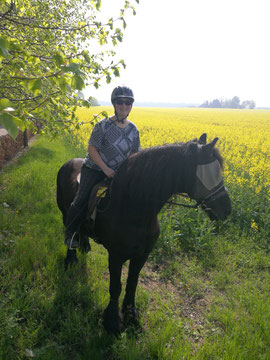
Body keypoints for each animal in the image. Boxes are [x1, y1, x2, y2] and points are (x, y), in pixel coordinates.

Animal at [56, 134, 231, 334]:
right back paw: (71, 259)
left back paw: (85, 245)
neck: (134, 206)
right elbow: (116, 287)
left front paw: (131, 315)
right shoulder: (115, 256)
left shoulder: (142, 255)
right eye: (212, 172)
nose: (227, 209)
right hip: (66, 211)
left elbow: (132, 284)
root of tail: (68, 163)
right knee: (71, 228)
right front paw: (112, 321)